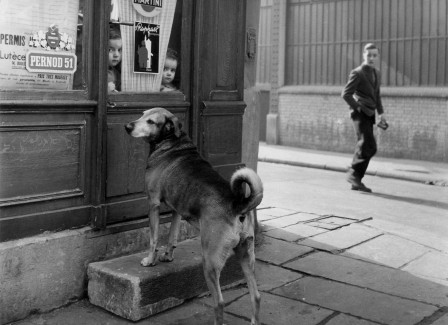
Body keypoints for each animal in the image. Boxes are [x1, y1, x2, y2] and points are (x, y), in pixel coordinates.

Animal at [124, 107, 262, 322]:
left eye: (151, 121)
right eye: (142, 114)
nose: (127, 126)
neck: (172, 143)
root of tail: (238, 205)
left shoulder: (153, 203)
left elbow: (154, 239)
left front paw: (150, 261)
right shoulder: (177, 209)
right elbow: (172, 236)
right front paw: (168, 256)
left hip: (210, 261)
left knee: (219, 302)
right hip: (246, 255)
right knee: (255, 296)